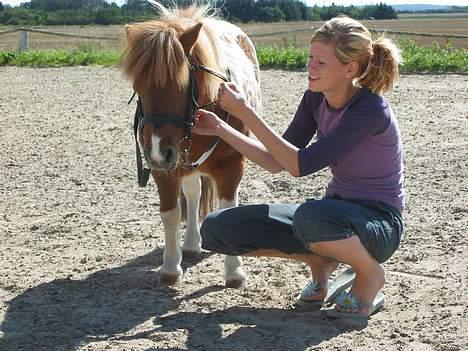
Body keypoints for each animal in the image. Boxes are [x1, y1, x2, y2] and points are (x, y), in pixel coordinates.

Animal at [120, 1, 260, 288]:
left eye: (182, 82)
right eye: (138, 86)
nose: (157, 150)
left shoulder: (232, 165)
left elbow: (227, 209)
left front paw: (234, 272)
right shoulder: (165, 169)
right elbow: (171, 213)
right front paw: (170, 267)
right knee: (194, 194)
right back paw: (193, 244)